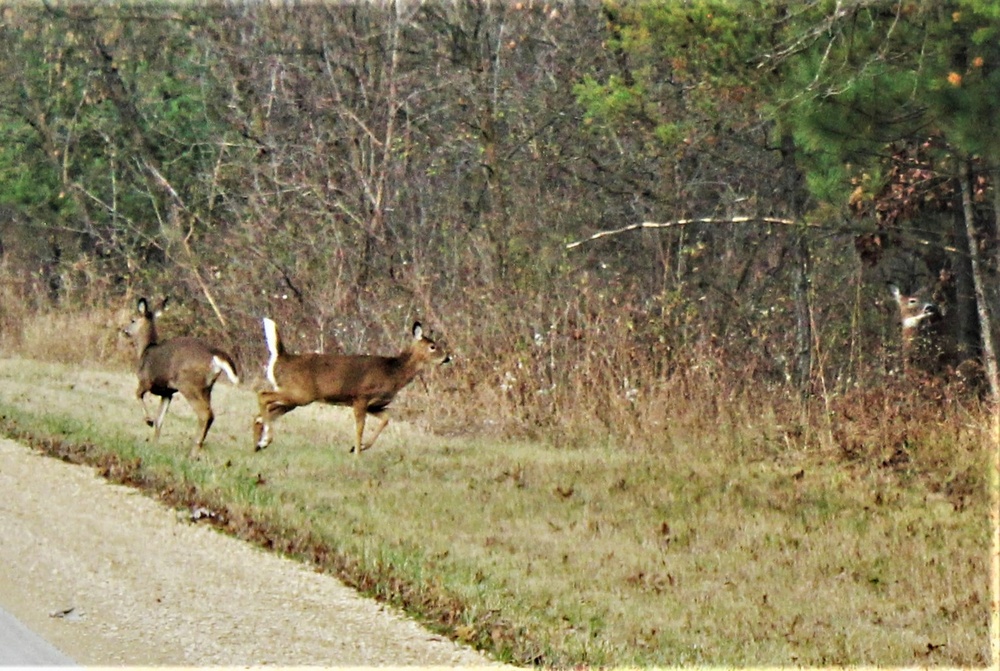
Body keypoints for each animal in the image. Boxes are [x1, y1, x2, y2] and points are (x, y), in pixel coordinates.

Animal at [123, 298, 240, 456]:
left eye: (133, 320)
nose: (124, 330)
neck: (144, 351)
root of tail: (215, 355)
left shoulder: (146, 381)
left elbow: (137, 395)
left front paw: (148, 420)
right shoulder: (168, 393)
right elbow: (160, 420)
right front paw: (154, 445)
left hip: (189, 384)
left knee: (205, 414)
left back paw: (193, 453)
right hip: (207, 388)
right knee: (210, 415)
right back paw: (198, 448)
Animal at [252, 318, 452, 454]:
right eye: (433, 346)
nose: (448, 357)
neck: (393, 372)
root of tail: (282, 357)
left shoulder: (375, 405)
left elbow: (385, 419)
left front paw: (360, 448)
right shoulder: (361, 397)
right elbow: (360, 427)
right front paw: (357, 453)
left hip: (293, 398)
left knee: (260, 415)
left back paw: (258, 445)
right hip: (300, 393)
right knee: (262, 395)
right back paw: (265, 440)